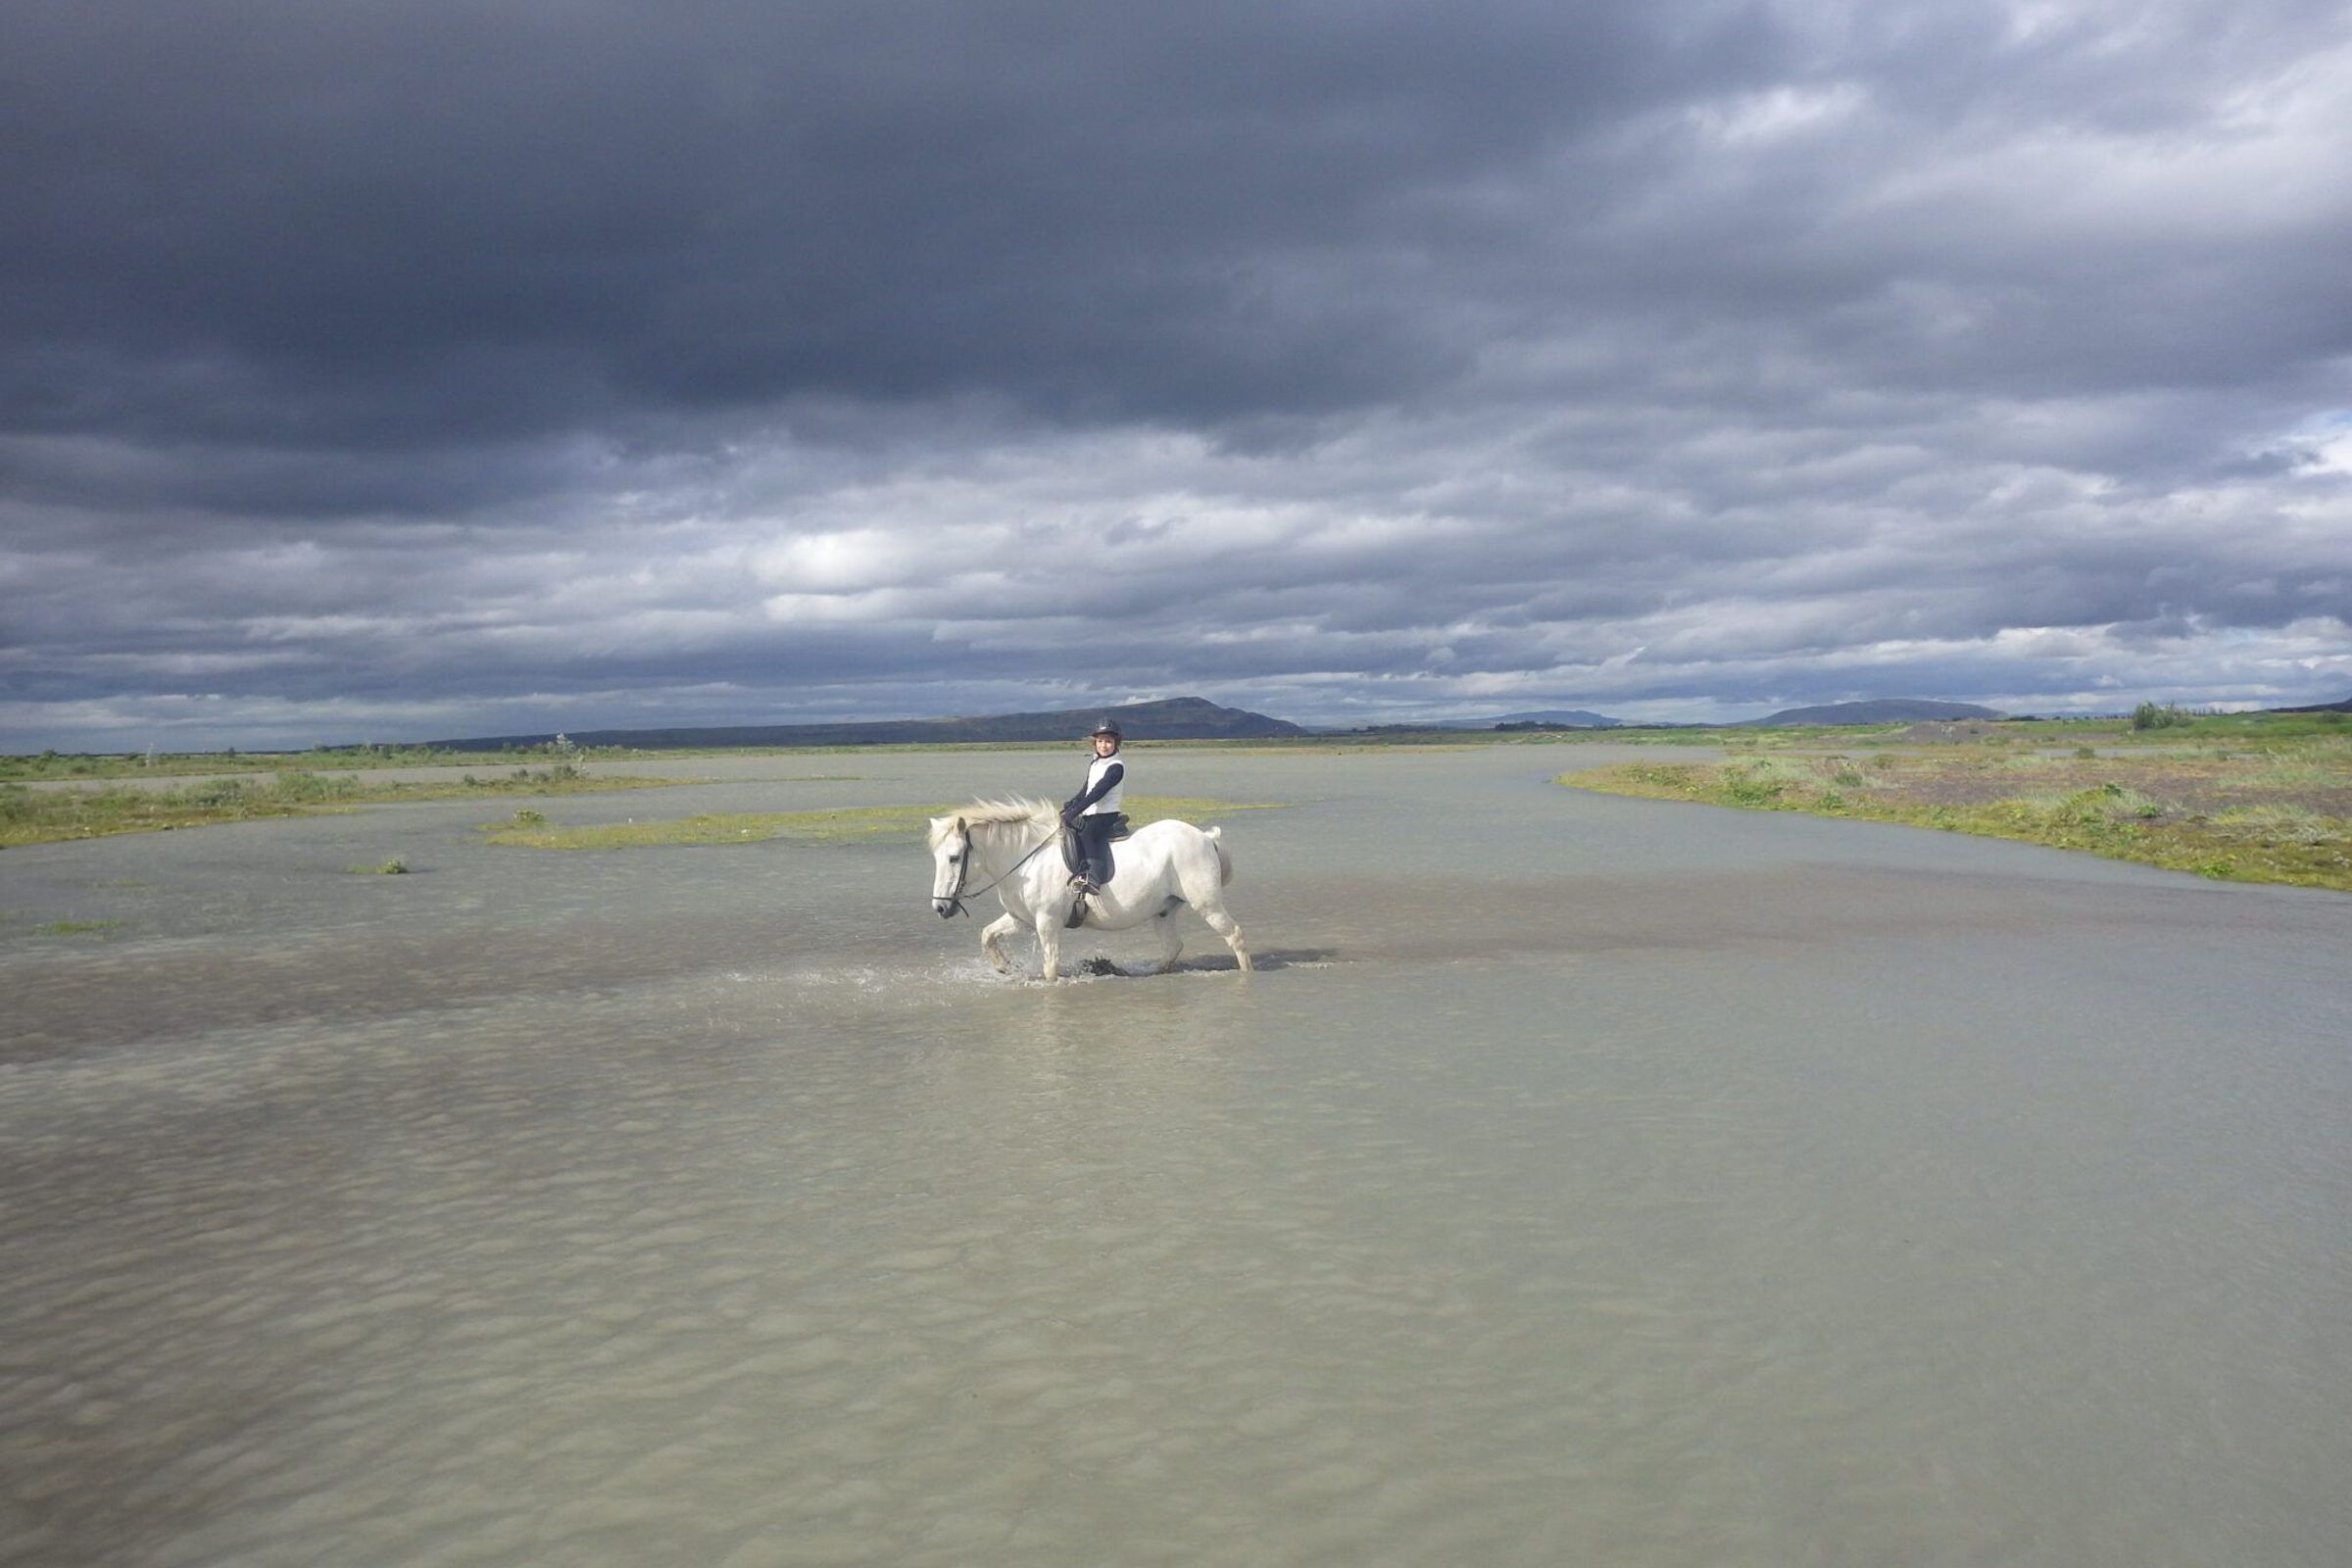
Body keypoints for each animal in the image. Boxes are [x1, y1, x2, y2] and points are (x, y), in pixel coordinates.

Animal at [927, 799, 1252, 981]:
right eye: (937, 857)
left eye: (954, 857)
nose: (940, 908)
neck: (1027, 859)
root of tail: (1205, 837)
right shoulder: (1022, 920)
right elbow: (987, 936)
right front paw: (1005, 967)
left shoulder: (1047, 922)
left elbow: (1051, 968)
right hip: (1164, 910)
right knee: (1173, 947)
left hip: (1206, 903)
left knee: (1235, 935)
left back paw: (1246, 974)